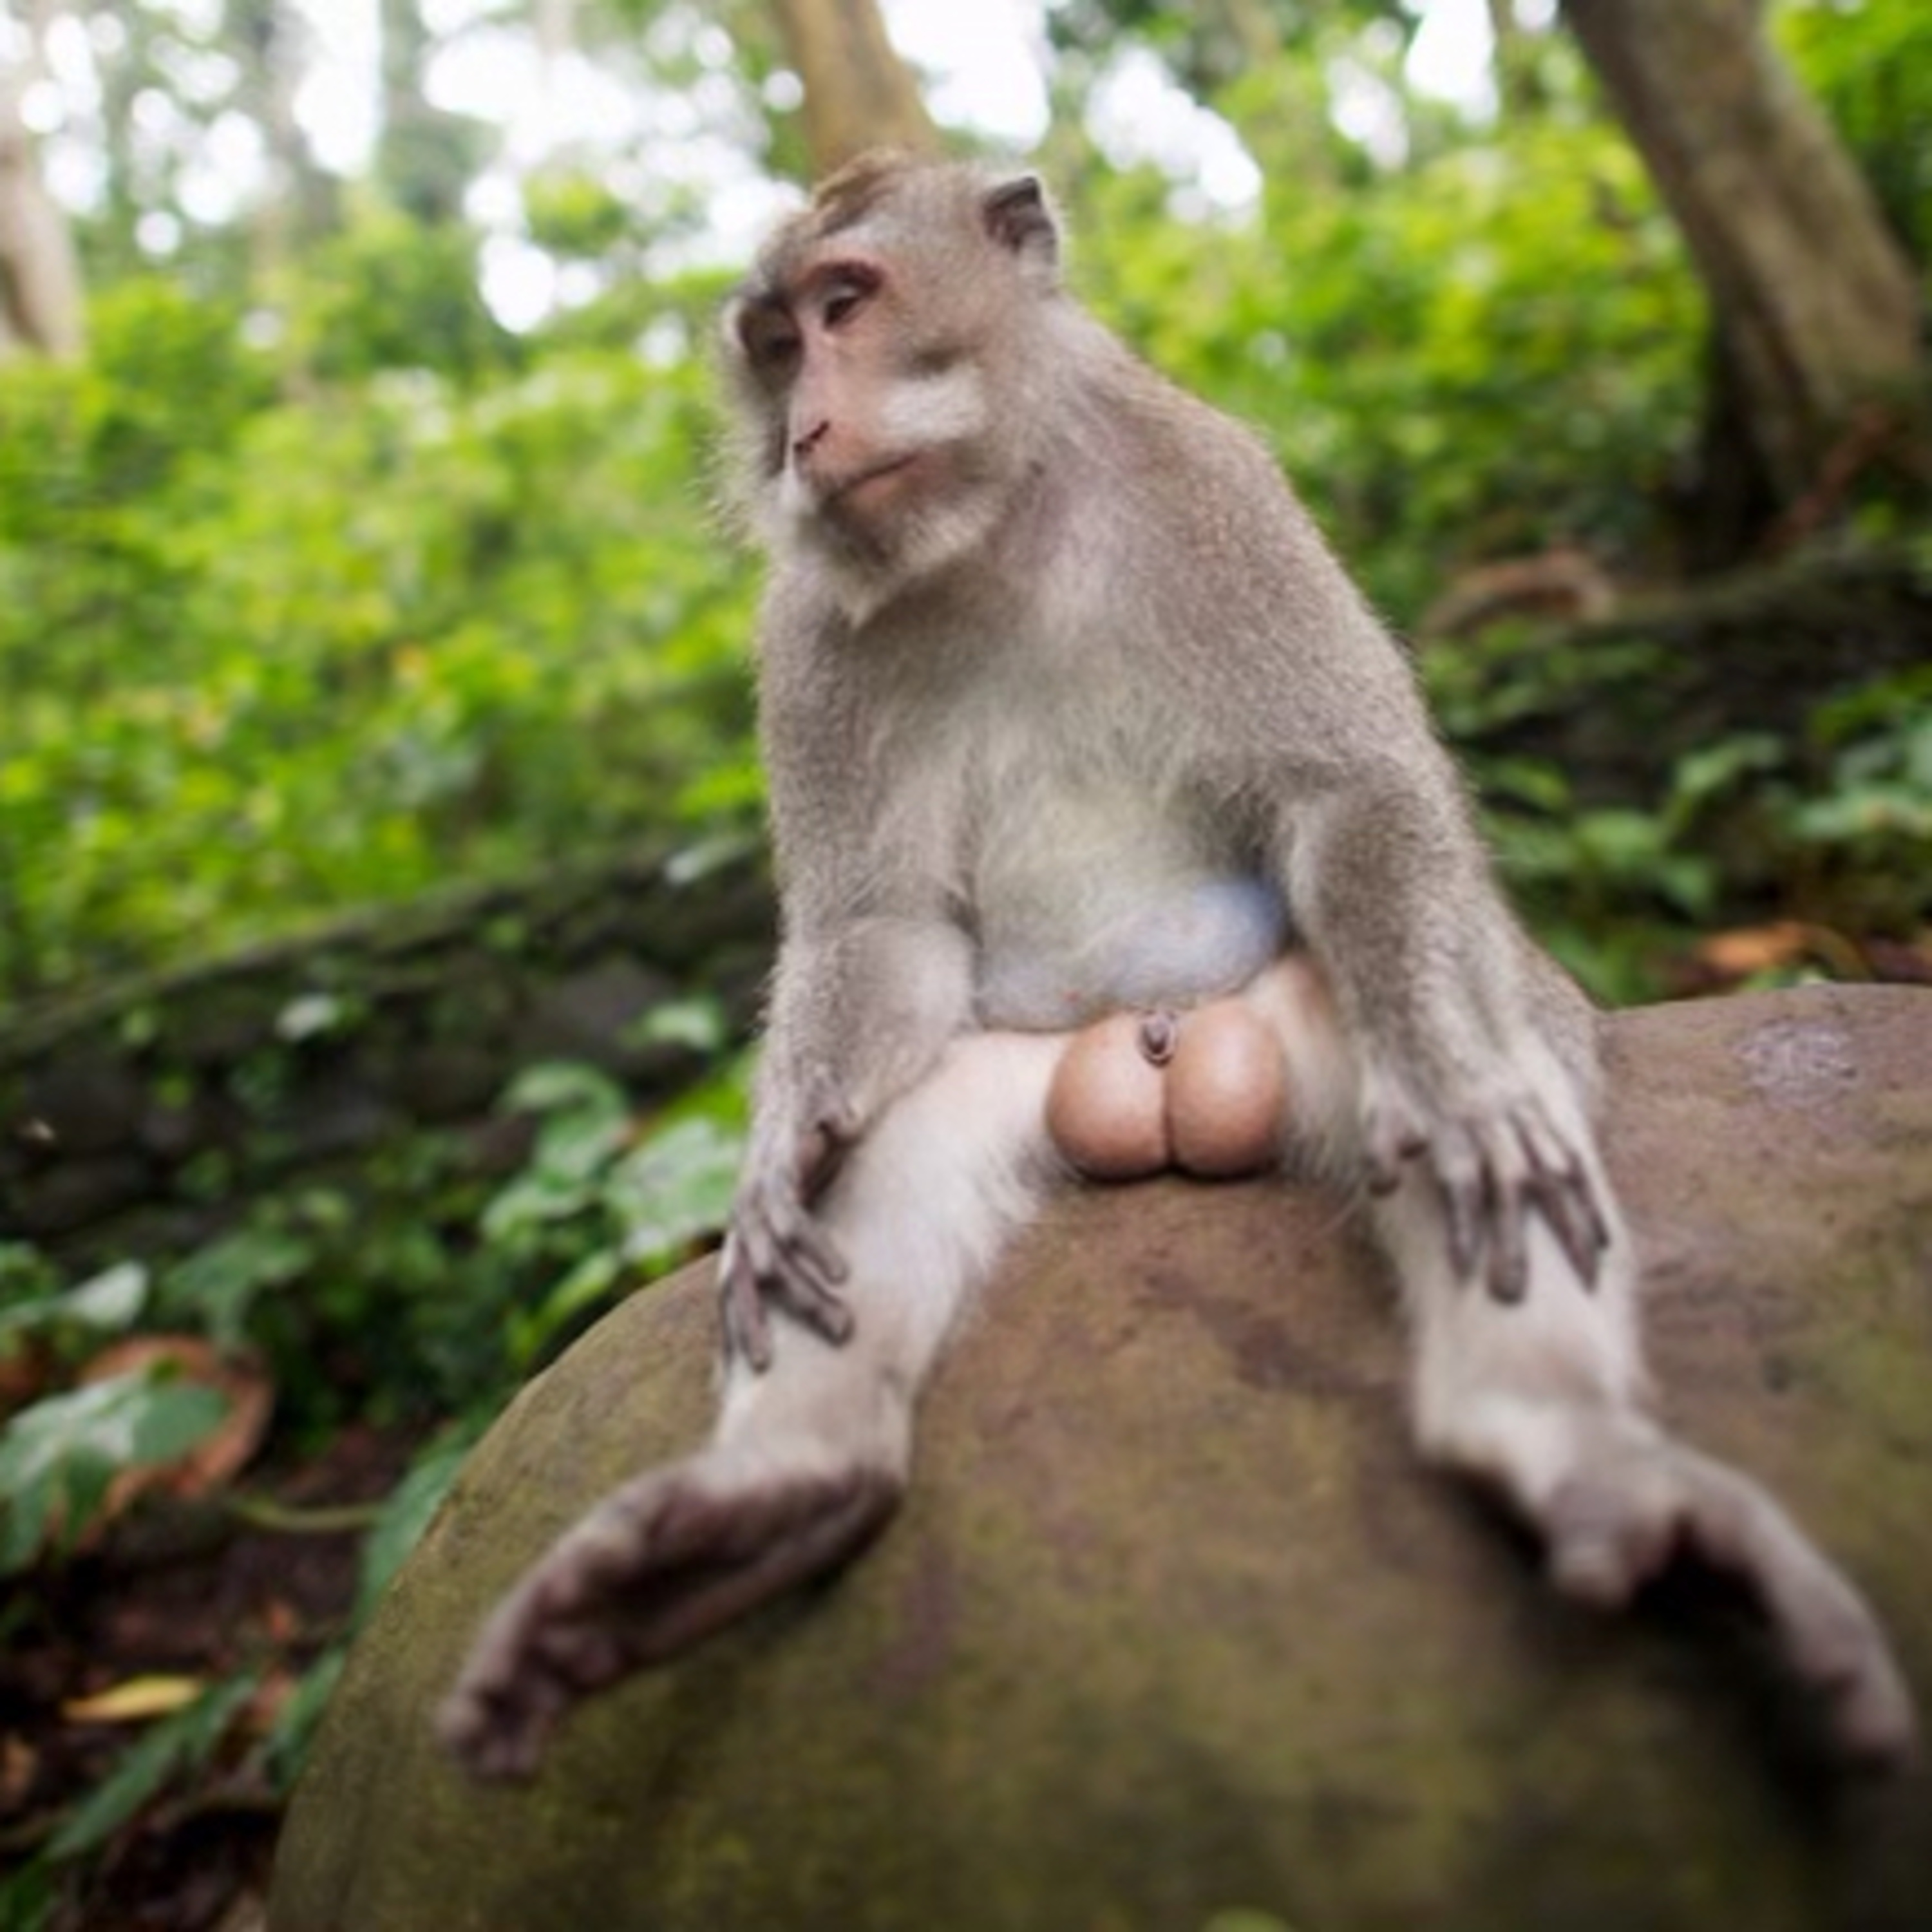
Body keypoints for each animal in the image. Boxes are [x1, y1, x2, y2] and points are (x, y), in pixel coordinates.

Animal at [438, 153, 1918, 1782]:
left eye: (846, 303)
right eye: (772, 344)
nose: (808, 427)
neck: (991, 530)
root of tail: (1147, 1058)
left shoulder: (1211, 488)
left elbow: (1350, 794)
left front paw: (1460, 1086)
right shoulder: (803, 633)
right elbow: (874, 933)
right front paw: (776, 1158)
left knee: (1482, 1100)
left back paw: (1582, 1455)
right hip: (1008, 1075)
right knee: (889, 1160)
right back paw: (773, 1491)